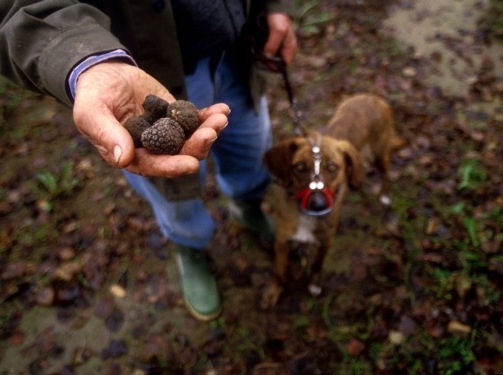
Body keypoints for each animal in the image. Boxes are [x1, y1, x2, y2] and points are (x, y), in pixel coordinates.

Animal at [262, 94, 404, 308]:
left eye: (332, 167)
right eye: (300, 167)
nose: (318, 205)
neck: (307, 218)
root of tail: (372, 97)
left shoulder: (326, 242)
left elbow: (317, 265)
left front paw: (313, 285)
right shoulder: (281, 241)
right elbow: (279, 270)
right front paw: (274, 290)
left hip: (380, 152)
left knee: (386, 172)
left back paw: (385, 195)